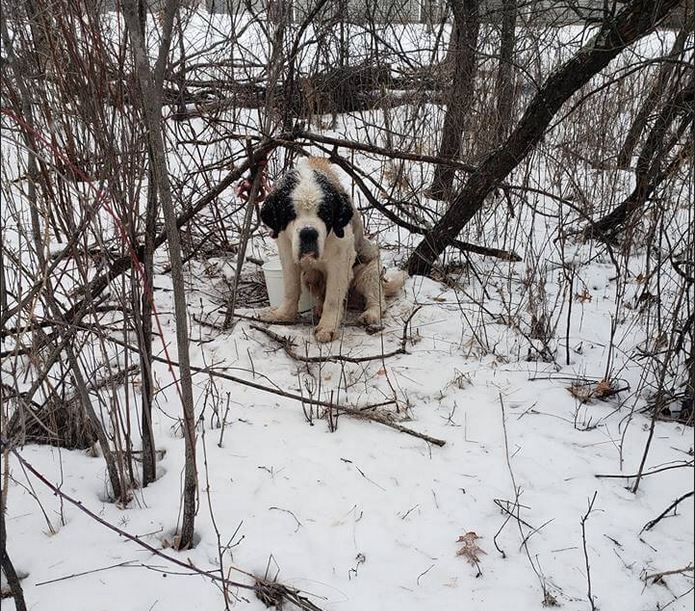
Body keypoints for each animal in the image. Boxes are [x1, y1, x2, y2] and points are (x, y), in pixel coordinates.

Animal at [258, 155, 406, 342]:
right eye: (291, 213)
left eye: (324, 213)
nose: (308, 233)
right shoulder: (286, 250)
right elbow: (291, 288)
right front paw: (283, 315)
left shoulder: (340, 260)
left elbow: (333, 298)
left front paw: (327, 327)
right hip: (311, 276)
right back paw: (318, 309)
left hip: (370, 270)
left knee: (377, 298)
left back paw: (370, 314)